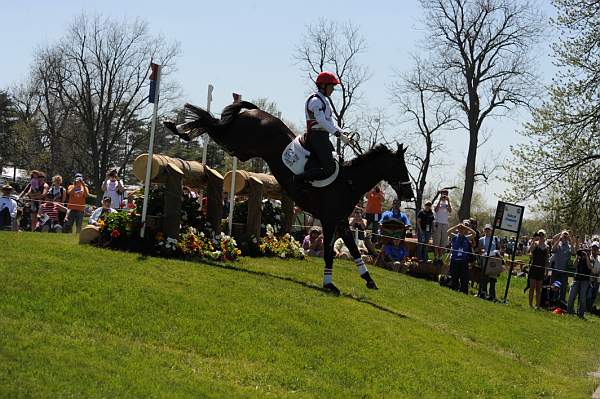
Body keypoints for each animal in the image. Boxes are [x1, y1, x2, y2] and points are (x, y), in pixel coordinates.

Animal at [166, 101, 414, 296]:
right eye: (400, 167)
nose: (409, 194)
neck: (348, 181)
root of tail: (255, 111)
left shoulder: (341, 222)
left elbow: (353, 249)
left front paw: (368, 279)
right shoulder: (329, 221)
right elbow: (328, 253)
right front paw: (329, 284)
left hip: (240, 149)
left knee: (214, 126)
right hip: (237, 142)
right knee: (211, 125)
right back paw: (176, 126)